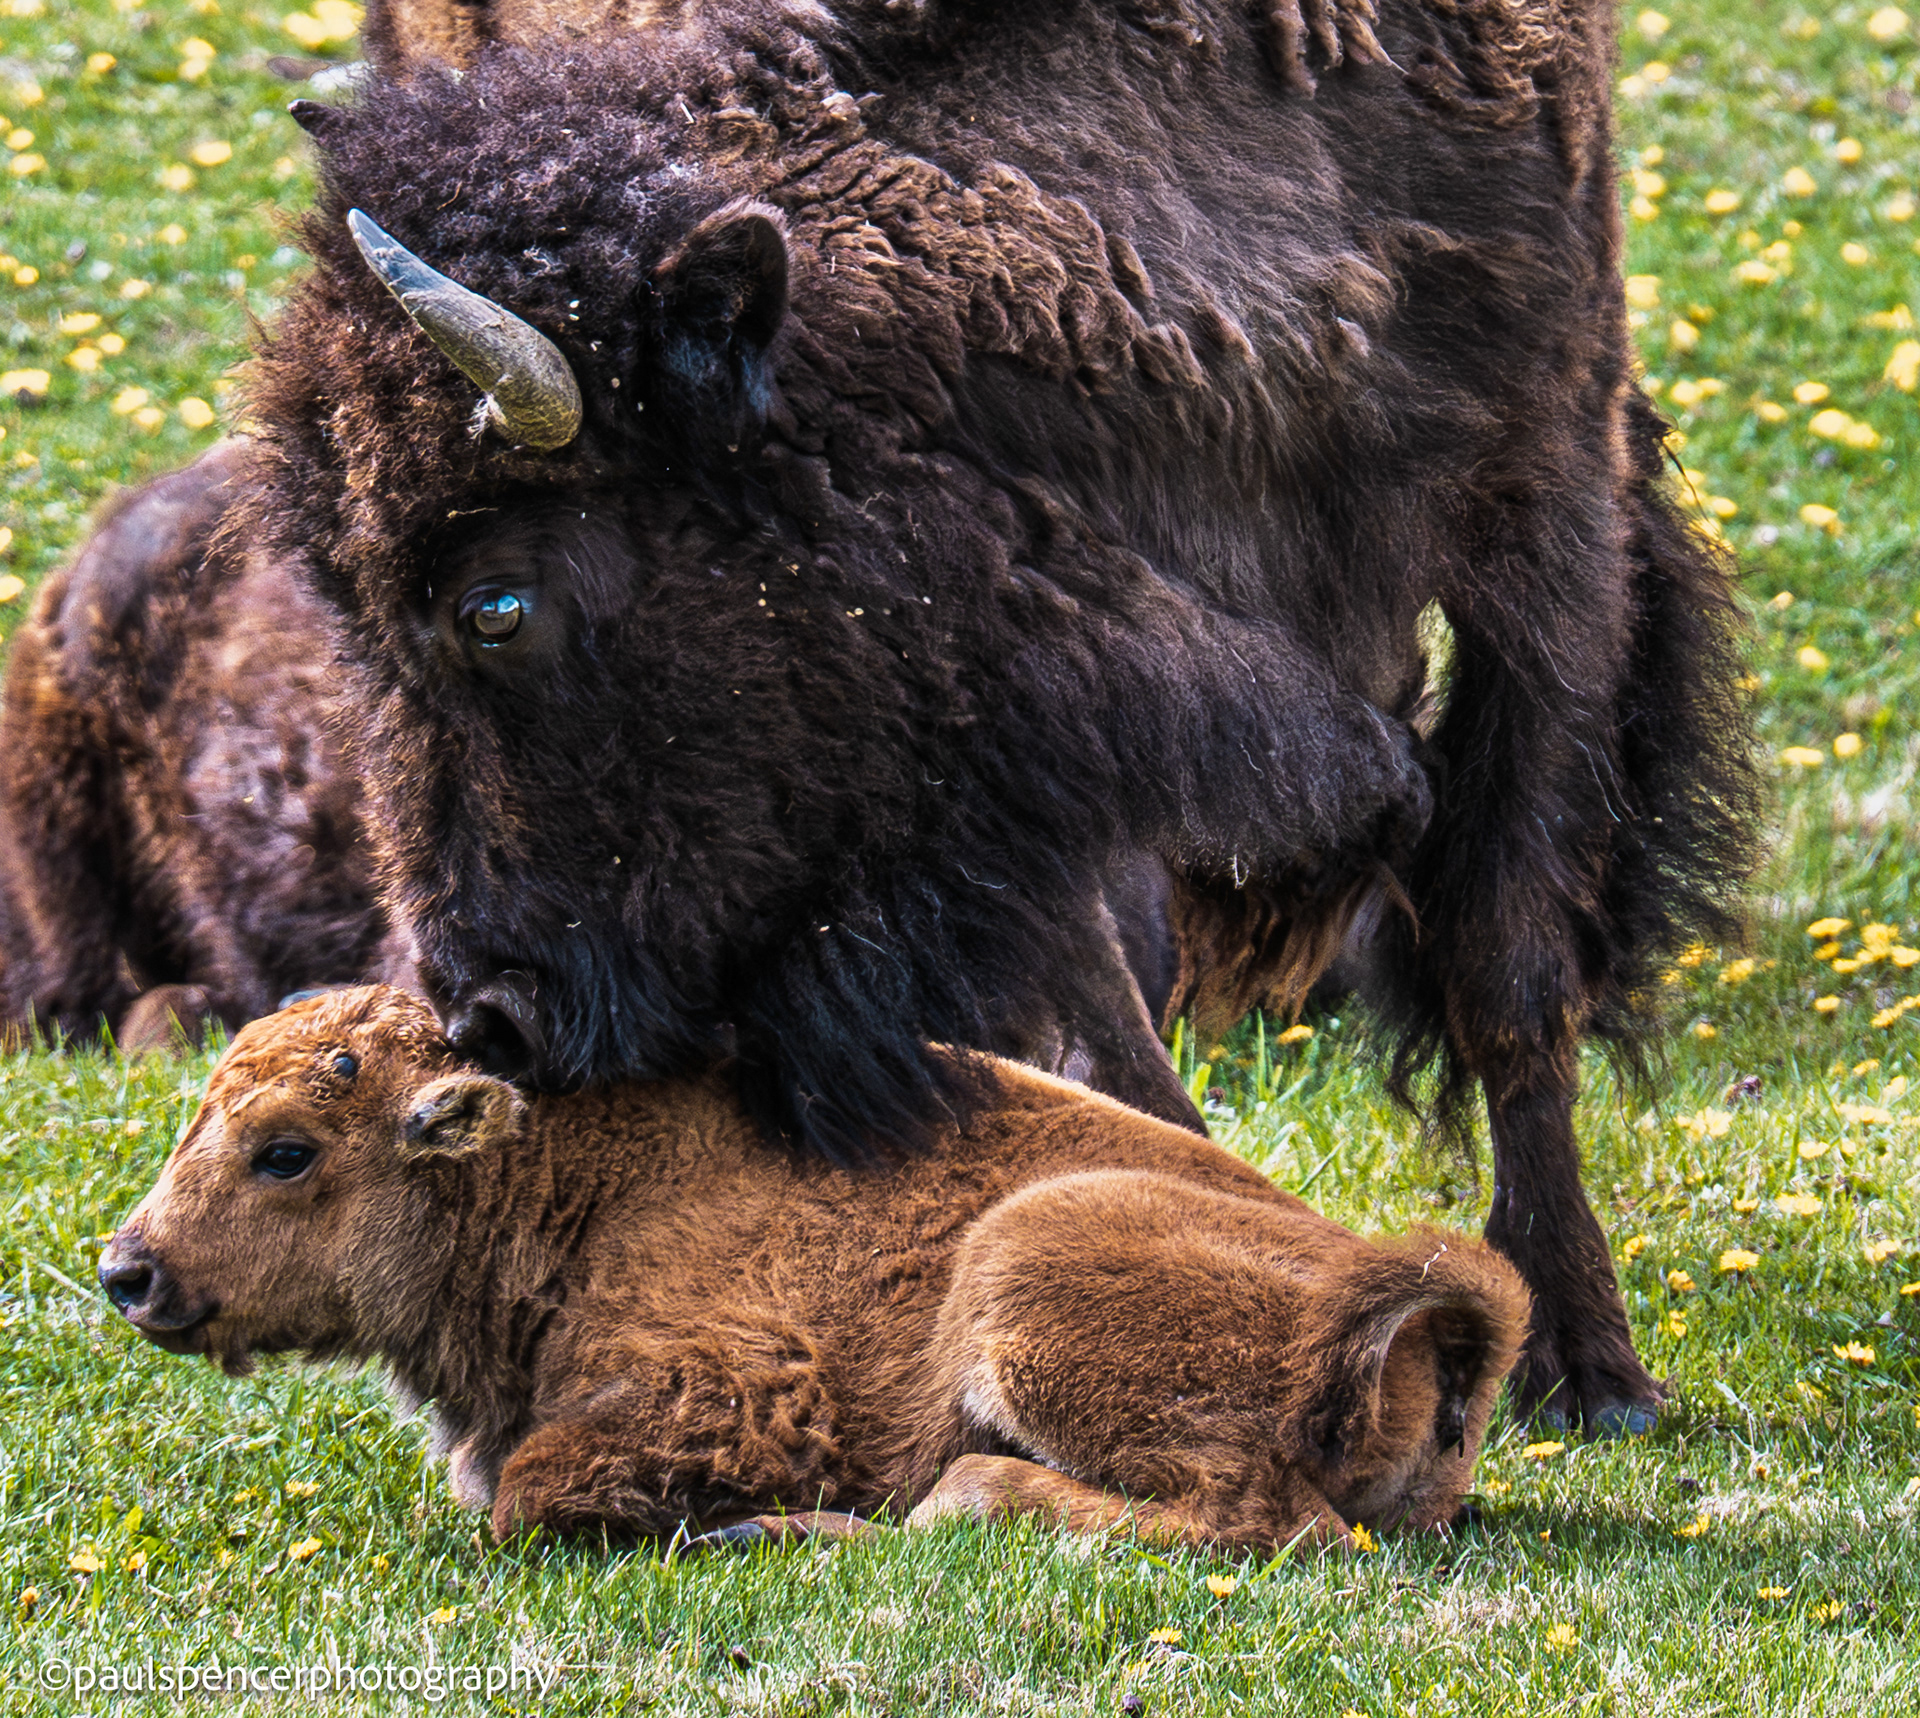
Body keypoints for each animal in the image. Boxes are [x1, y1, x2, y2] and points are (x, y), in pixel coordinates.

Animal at [99, 985, 1528, 1549]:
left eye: (286, 1149)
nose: (128, 1270)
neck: (566, 1175)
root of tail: (1446, 1336)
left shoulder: (727, 1386)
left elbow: (528, 1491)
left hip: (1021, 1283)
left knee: (1261, 1519)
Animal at [231, 0, 1760, 1435]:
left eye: (497, 603)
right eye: (344, 602)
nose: (490, 1014)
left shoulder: (1540, 491)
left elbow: (1510, 956)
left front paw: (1592, 1367)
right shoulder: (1028, 721)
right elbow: (1103, 999)